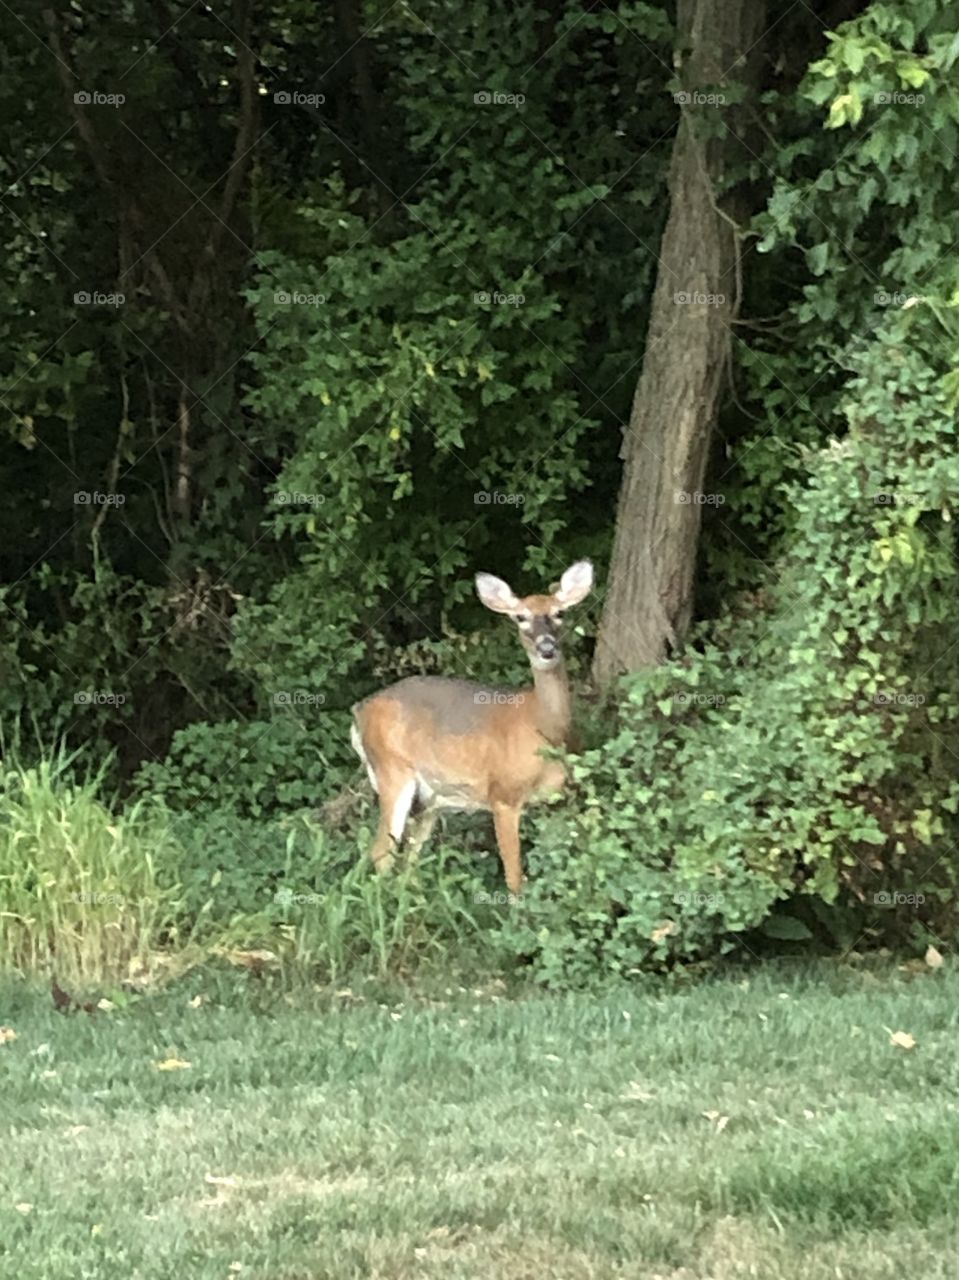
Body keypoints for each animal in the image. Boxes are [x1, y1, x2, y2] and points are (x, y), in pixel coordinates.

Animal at [350, 560, 593, 895]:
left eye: (559, 613)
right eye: (520, 617)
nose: (547, 648)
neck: (543, 728)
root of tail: (359, 711)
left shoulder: (559, 798)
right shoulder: (502, 796)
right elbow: (514, 878)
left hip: (431, 798)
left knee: (409, 857)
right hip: (392, 770)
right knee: (381, 853)